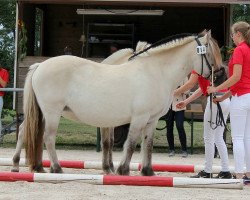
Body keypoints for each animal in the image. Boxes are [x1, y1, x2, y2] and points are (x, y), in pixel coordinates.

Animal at [12, 30, 222, 176]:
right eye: (211, 53)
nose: (219, 75)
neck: (156, 71)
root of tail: (40, 65)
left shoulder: (152, 120)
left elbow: (148, 144)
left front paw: (148, 171)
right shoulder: (139, 118)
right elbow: (130, 143)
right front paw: (123, 169)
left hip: (42, 113)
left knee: (25, 131)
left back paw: (25, 166)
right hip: (52, 113)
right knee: (48, 138)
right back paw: (56, 168)